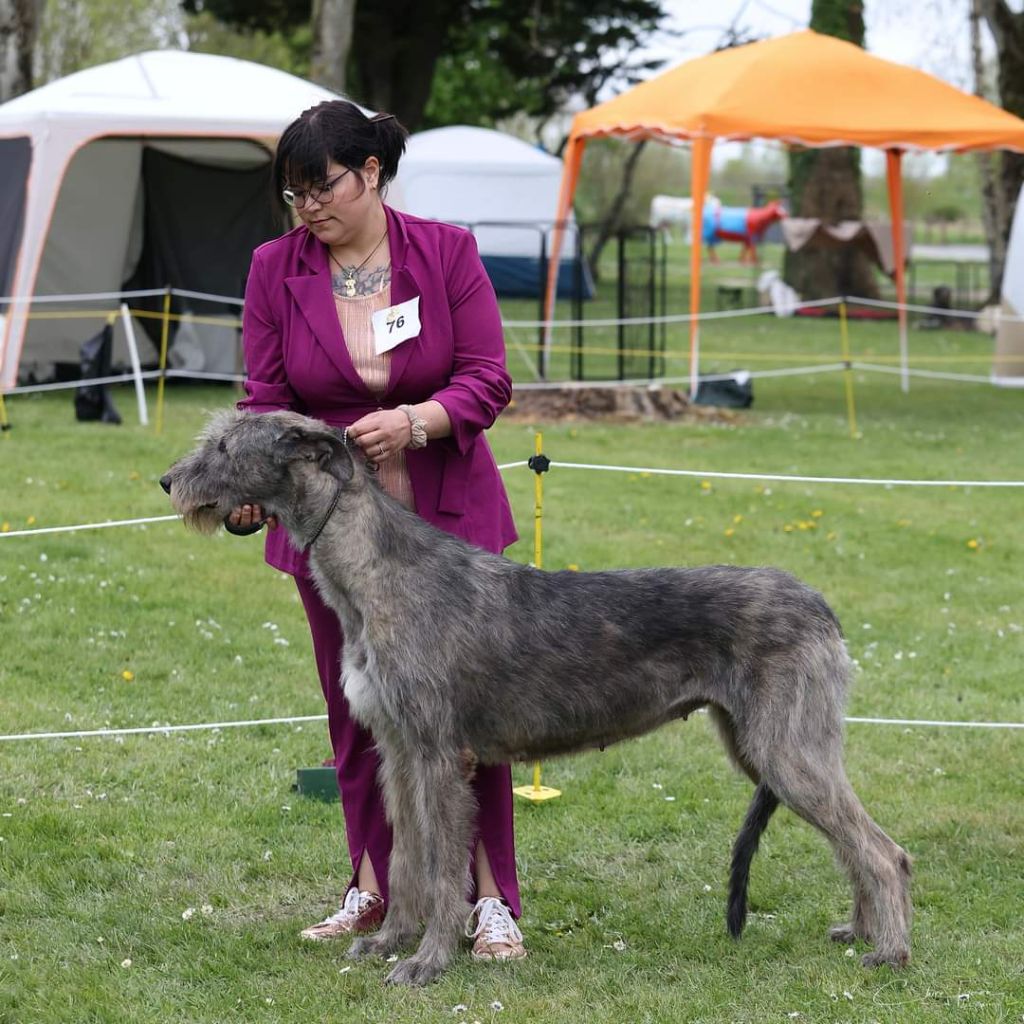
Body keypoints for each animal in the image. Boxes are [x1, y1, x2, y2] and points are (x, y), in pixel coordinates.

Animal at [163, 407, 917, 983]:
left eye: (226, 445)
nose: (167, 479)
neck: (376, 572)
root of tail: (822, 606)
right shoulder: (400, 751)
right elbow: (405, 856)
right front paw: (387, 939)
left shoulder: (440, 755)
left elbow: (443, 869)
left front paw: (427, 962)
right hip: (765, 748)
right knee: (857, 843)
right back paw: (859, 930)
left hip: (788, 749)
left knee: (883, 850)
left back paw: (890, 951)